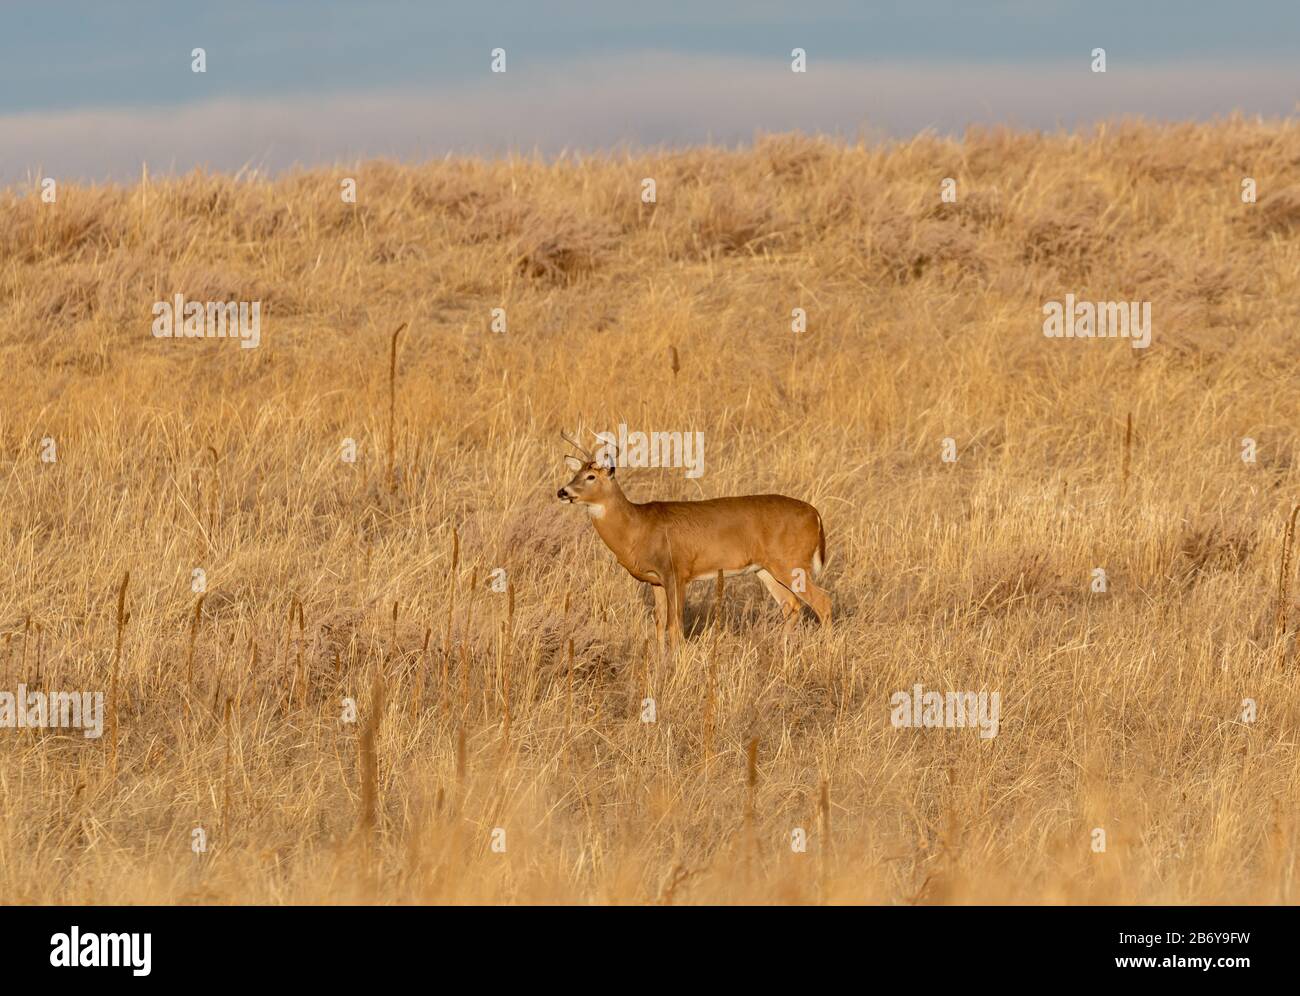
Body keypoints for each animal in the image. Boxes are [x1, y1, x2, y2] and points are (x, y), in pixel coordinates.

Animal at [556, 429, 830, 650]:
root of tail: (815, 515)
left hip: (791, 562)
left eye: (591, 477)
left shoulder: (676, 571)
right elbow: (659, 624)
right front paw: (660, 662)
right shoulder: (656, 580)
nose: (562, 491)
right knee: (792, 605)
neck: (637, 527)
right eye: (576, 473)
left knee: (822, 601)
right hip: (765, 568)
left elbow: (675, 625)